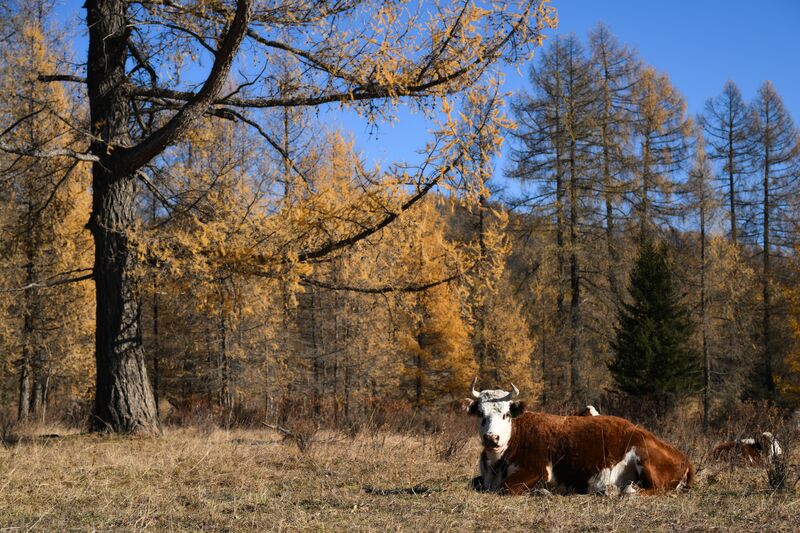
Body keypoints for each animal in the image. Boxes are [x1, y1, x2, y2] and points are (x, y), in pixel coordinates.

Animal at [462, 378, 692, 494]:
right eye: (480, 413)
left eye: (506, 414)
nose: (492, 438)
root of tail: (683, 456)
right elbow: (473, 482)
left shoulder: (536, 470)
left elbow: (506, 487)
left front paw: (543, 491)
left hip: (643, 456)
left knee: (649, 490)